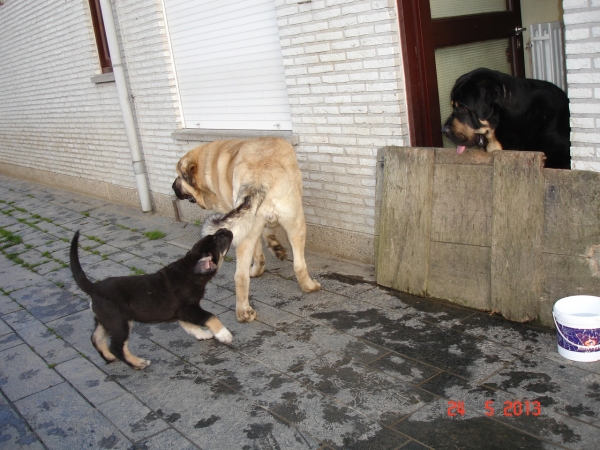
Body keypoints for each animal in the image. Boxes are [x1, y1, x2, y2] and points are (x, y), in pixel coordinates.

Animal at [68, 229, 232, 370]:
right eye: (217, 239)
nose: (224, 229)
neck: (190, 269)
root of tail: (94, 288)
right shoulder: (189, 309)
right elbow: (210, 317)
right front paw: (224, 334)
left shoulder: (183, 312)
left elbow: (190, 326)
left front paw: (203, 335)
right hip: (120, 322)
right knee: (116, 347)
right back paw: (138, 363)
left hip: (106, 320)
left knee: (96, 338)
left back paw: (109, 358)